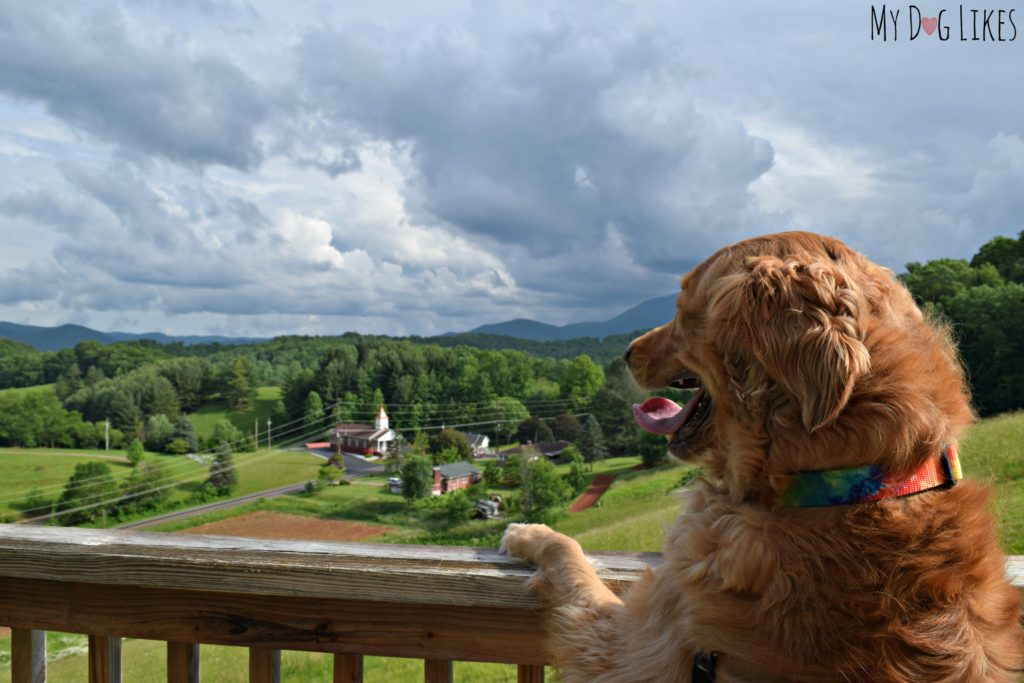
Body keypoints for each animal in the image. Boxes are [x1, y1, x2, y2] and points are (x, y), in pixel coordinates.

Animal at [503, 232, 1024, 679]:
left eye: (682, 309)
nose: (627, 351)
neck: (851, 483)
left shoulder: (631, 648)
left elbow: (574, 568)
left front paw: (530, 533)